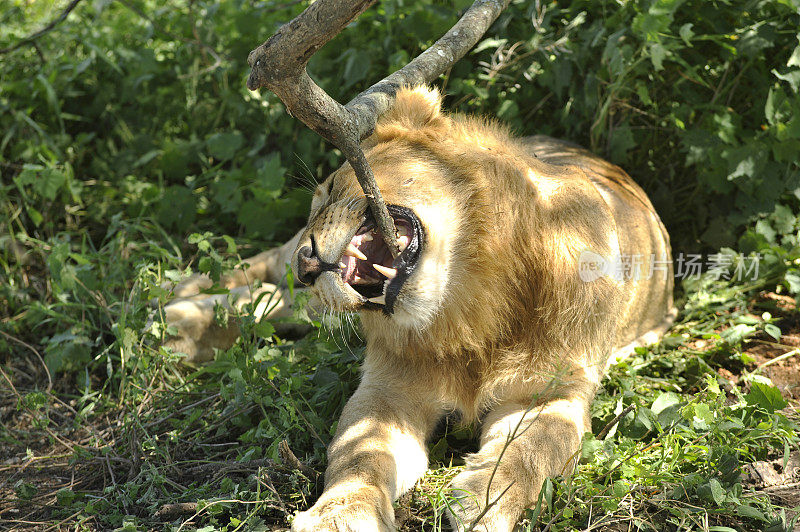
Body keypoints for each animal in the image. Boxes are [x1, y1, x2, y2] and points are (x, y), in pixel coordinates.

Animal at [162, 85, 676, 528]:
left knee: (271, 296)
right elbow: (359, 454)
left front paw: (485, 502)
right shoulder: (390, 390)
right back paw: (179, 313)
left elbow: (532, 453)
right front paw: (341, 515)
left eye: (332, 191)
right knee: (267, 278)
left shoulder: (554, 394)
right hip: (295, 283)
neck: (468, 303)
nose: (308, 264)